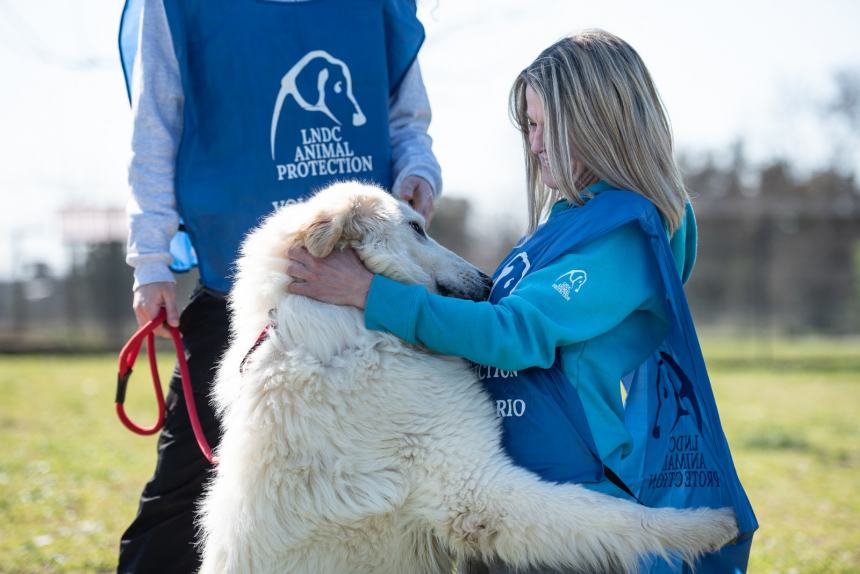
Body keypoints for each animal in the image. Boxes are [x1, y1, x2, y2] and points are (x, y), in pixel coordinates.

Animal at [197, 182, 740, 572]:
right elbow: (613, 515)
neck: (345, 334)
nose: (487, 280)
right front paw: (710, 526)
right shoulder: (476, 490)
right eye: (416, 228)